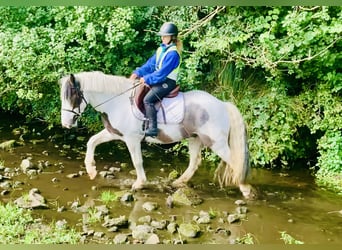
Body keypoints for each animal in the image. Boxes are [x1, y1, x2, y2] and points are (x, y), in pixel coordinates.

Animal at [59, 71, 254, 199]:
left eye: (72, 96)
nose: (66, 124)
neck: (117, 102)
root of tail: (222, 104)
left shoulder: (132, 139)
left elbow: (137, 161)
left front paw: (139, 183)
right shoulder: (114, 133)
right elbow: (91, 142)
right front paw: (91, 171)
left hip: (216, 143)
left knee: (234, 160)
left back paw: (246, 190)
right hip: (195, 138)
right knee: (195, 162)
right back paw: (178, 182)